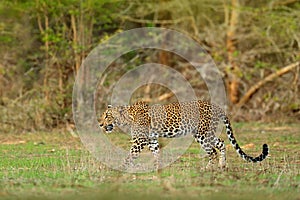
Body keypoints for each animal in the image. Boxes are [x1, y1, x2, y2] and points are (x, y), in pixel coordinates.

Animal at [99, 101, 270, 170]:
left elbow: (130, 156)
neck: (128, 117)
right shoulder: (152, 139)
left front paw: (120, 169)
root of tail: (217, 107)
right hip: (207, 132)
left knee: (212, 151)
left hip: (202, 134)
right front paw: (158, 168)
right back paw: (222, 166)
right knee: (221, 143)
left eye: (107, 116)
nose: (100, 124)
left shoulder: (139, 141)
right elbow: (156, 153)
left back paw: (209, 168)